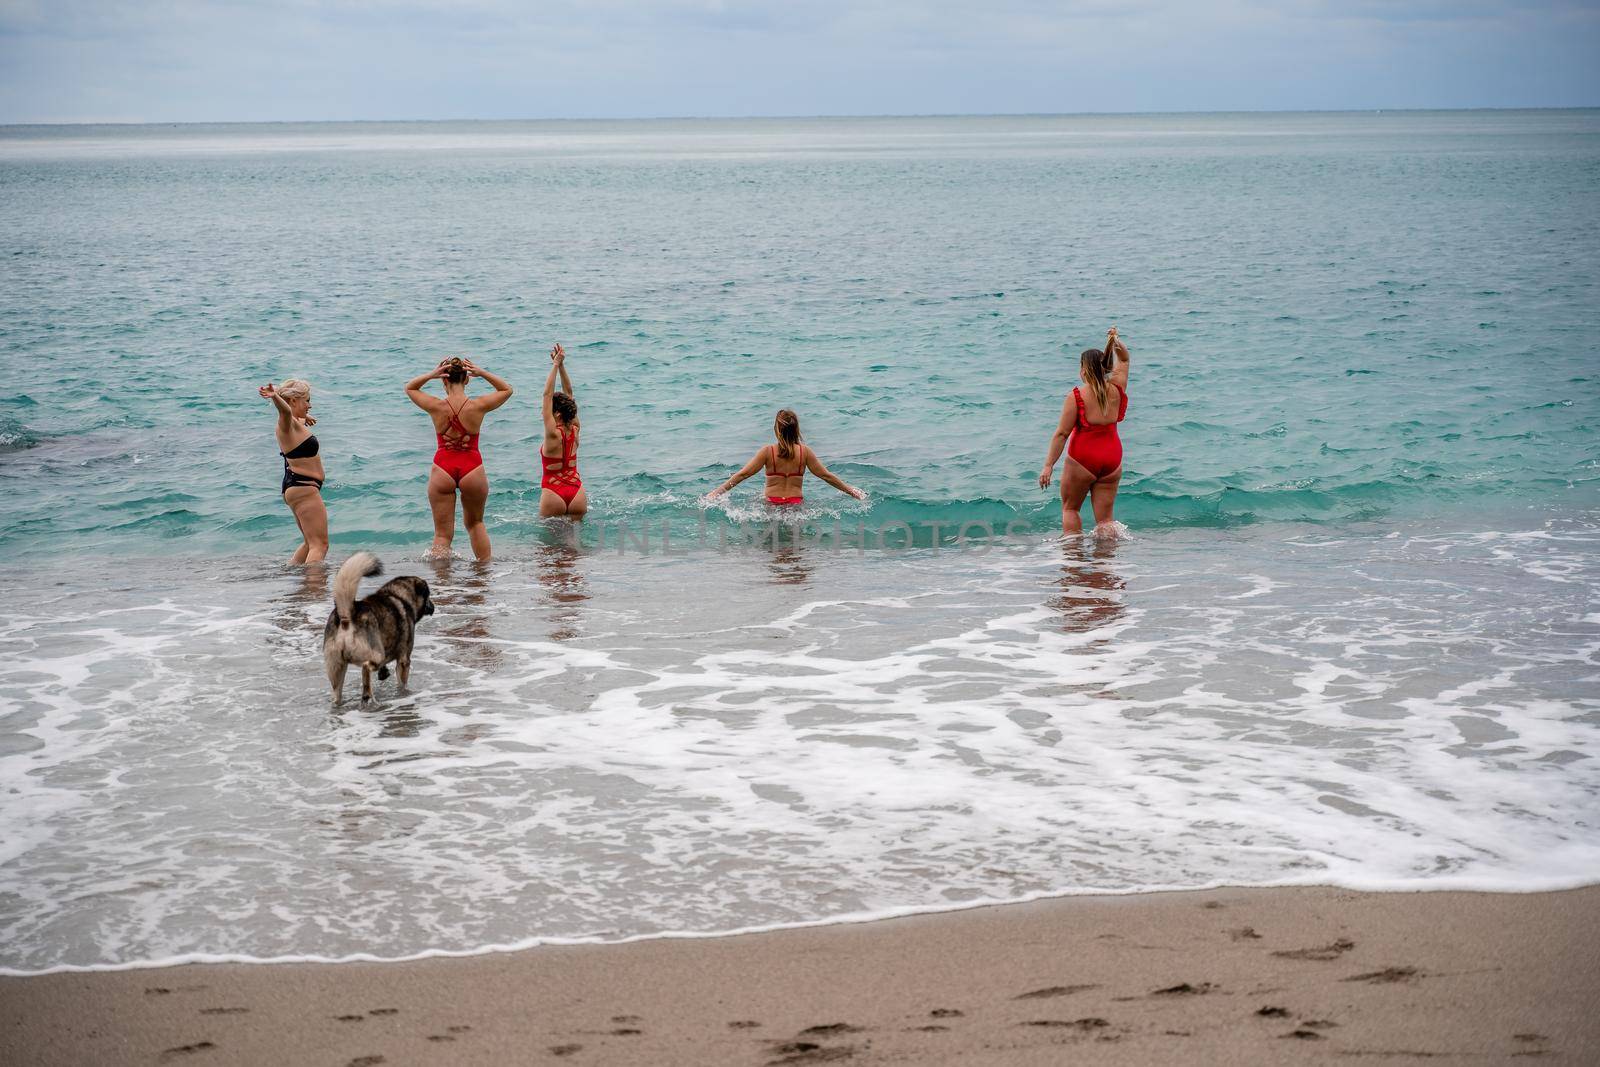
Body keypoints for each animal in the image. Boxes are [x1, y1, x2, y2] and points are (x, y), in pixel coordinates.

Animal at [321, 550, 435, 710]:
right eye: (428, 595)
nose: (433, 607)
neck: (399, 595)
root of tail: (347, 615)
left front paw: (384, 673)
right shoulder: (404, 659)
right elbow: (402, 681)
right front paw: (403, 693)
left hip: (336, 666)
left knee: (336, 692)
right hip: (375, 653)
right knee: (366, 667)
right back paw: (367, 695)